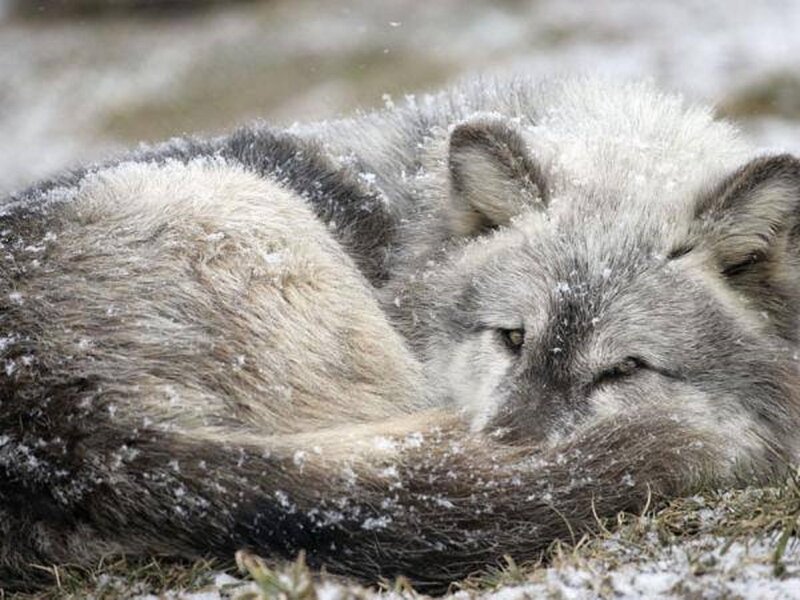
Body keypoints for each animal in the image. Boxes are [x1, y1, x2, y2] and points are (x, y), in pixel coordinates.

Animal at [1, 78, 799, 592]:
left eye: (623, 370)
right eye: (511, 338)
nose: (512, 453)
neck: (409, 235)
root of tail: (51, 421)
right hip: (253, 214)